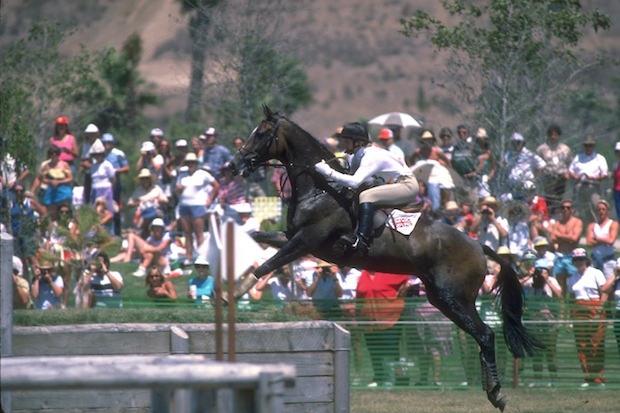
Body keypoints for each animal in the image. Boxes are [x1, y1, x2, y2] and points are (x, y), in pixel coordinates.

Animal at [229, 106, 540, 411]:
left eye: (262, 134)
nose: (233, 166)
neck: (321, 189)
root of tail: (479, 246)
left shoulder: (305, 241)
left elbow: (269, 263)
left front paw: (231, 293)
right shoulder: (292, 238)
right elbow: (258, 243)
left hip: (454, 297)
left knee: (485, 334)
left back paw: (496, 392)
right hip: (442, 299)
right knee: (481, 335)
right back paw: (493, 391)